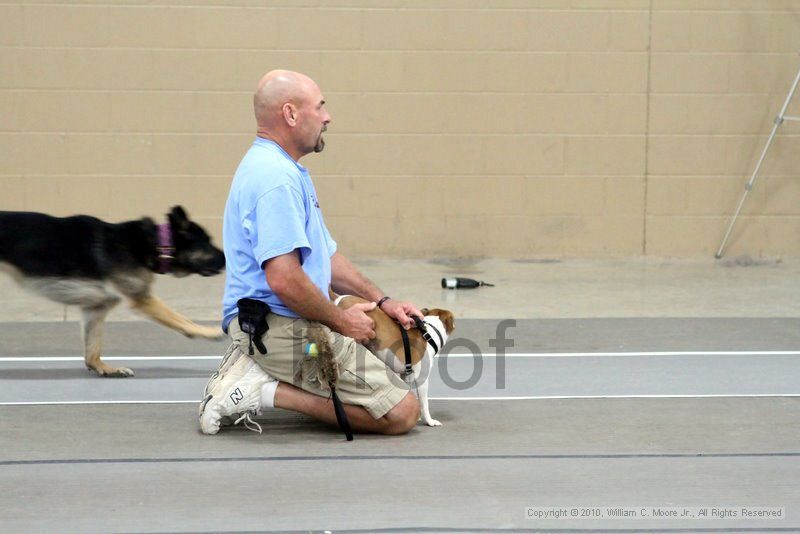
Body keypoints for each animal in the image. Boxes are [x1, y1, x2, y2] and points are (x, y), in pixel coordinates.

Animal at [0, 205, 225, 376]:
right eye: (207, 242)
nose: (227, 259)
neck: (155, 244)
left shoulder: (95, 309)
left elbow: (92, 350)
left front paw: (105, 369)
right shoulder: (142, 299)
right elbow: (182, 319)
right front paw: (209, 332)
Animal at [332, 288, 456, 428]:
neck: (428, 334)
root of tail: (339, 299)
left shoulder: (406, 376)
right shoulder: (422, 379)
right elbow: (424, 403)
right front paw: (429, 420)